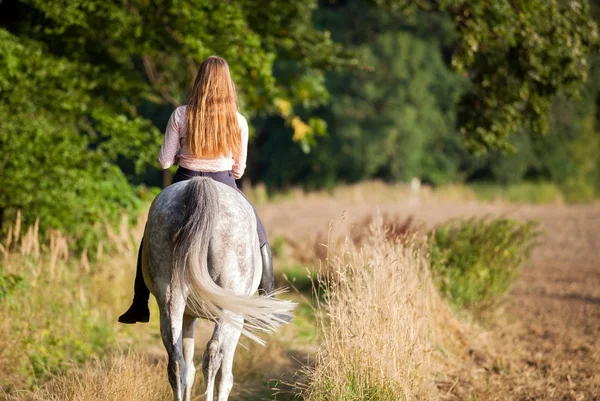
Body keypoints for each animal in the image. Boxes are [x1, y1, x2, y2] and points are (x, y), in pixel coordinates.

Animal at [141, 177, 296, 400]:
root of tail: (200, 185)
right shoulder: (236, 318)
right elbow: (226, 376)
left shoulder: (189, 316)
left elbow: (189, 369)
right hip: (230, 304)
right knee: (213, 354)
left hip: (171, 299)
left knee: (177, 362)